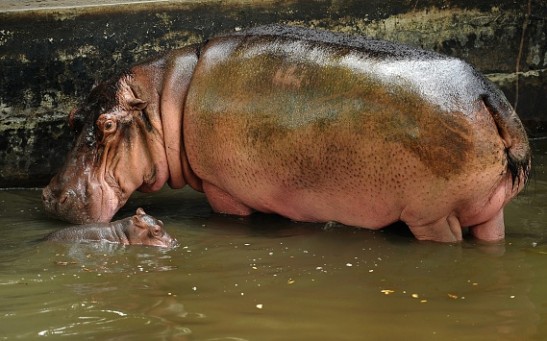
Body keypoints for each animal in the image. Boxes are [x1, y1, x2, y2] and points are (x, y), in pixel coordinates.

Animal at [41, 24, 532, 242]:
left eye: (107, 124)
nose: (52, 195)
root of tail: (489, 95)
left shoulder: (223, 190)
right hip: (488, 213)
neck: (163, 100)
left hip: (431, 216)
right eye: (72, 117)